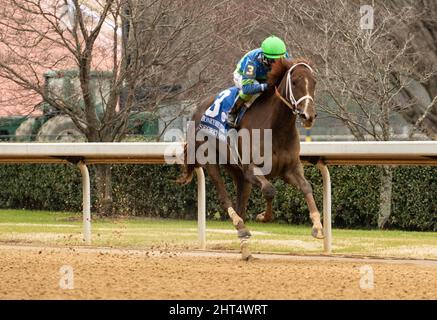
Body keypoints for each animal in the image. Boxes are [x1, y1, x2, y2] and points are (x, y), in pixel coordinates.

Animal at [176, 58, 324, 260]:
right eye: (294, 82)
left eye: (314, 82)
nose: (308, 115)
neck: (276, 128)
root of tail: (196, 110)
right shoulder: (251, 169)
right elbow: (269, 190)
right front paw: (263, 216)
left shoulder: (290, 169)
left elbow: (306, 187)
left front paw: (317, 226)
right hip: (210, 160)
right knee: (225, 197)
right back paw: (241, 227)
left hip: (236, 171)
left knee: (241, 204)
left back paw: (245, 248)